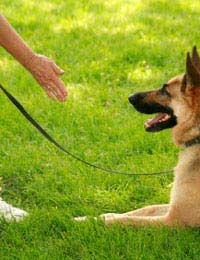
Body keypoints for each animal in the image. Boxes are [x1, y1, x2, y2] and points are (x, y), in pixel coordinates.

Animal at [76, 46, 200, 228]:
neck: (198, 136)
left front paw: (91, 222)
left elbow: (127, 220)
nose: (130, 97)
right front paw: (90, 217)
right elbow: (145, 209)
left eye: (165, 91)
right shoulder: (171, 208)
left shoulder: (175, 220)